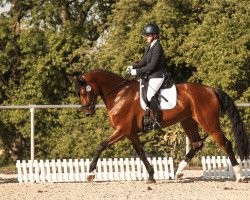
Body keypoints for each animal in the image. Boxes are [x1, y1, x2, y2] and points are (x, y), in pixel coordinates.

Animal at [67, 69, 249, 183]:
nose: (87, 112)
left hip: (209, 123)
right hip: (188, 121)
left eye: (83, 92)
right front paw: (151, 176)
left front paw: (90, 173)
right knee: (197, 143)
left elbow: (101, 146)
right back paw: (178, 172)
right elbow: (141, 152)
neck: (119, 94)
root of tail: (211, 90)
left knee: (225, 144)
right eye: (78, 93)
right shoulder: (131, 132)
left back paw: (239, 175)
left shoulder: (122, 130)